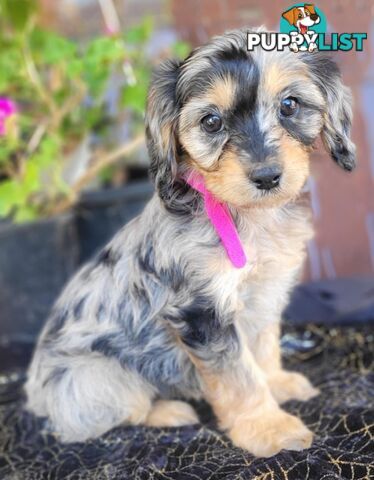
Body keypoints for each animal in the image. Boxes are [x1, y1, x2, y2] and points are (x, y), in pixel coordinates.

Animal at [24, 27, 356, 458]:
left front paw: (277, 384)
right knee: (109, 415)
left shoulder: (264, 295)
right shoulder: (202, 313)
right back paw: (170, 411)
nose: (267, 176)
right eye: (211, 121)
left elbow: (262, 348)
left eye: (290, 105)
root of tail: (35, 397)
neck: (242, 215)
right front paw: (268, 428)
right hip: (97, 379)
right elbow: (239, 376)